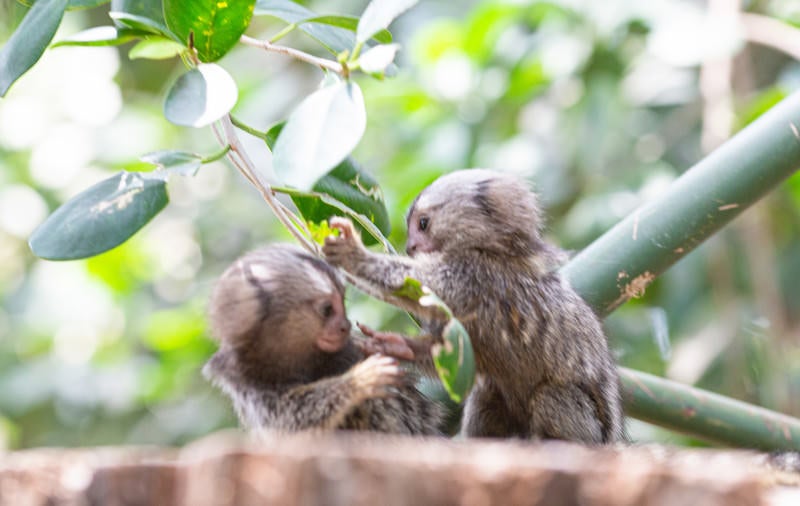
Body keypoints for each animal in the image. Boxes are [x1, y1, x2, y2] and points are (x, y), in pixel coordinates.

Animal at [203, 243, 444, 432]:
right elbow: (290, 419)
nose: (345, 326)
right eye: (327, 310)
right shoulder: (245, 381)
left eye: (343, 303)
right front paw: (359, 380)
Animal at [324, 170, 624, 442]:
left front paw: (354, 255)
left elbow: (418, 283)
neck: (489, 250)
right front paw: (395, 346)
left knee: (553, 397)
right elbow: (451, 354)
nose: (411, 247)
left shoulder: (475, 277)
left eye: (423, 224)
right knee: (486, 395)